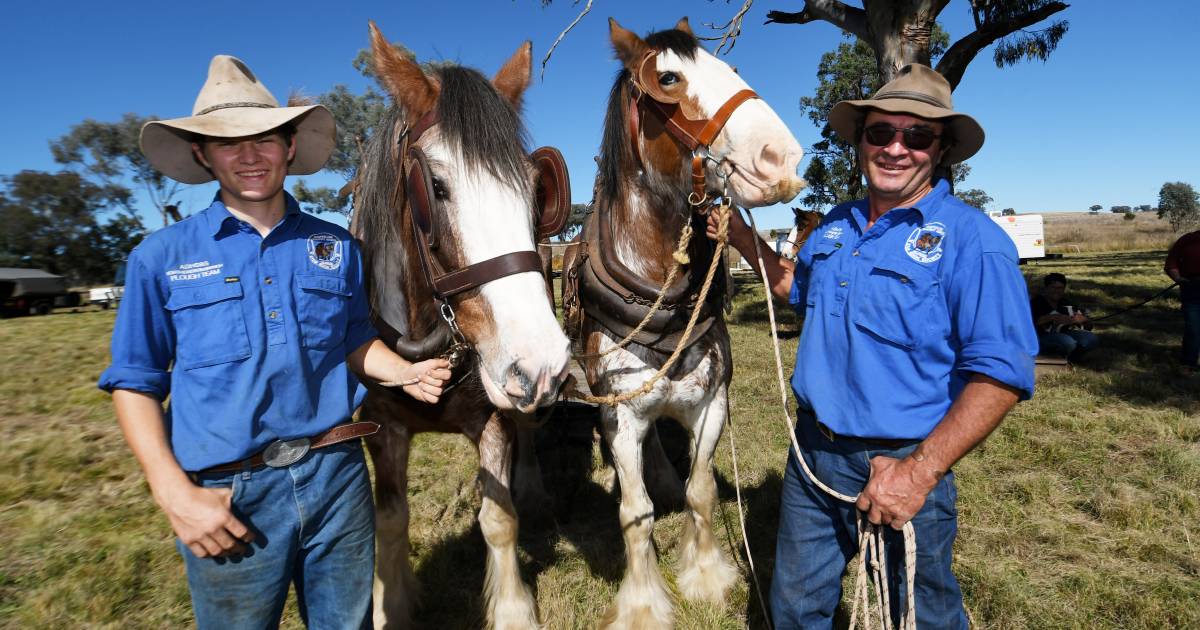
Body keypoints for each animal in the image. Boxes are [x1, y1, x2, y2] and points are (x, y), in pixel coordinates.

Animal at [348, 22, 571, 624]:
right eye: (437, 188)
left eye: (532, 189)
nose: (541, 364)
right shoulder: (382, 428)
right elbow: (390, 521)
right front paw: (391, 606)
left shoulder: (492, 416)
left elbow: (499, 518)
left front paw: (513, 612)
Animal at [561, 17, 806, 624]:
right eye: (669, 79)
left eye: (731, 67)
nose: (782, 159)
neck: (662, 296)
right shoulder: (621, 415)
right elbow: (635, 513)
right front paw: (643, 605)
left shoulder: (712, 403)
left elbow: (701, 491)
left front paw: (706, 577)